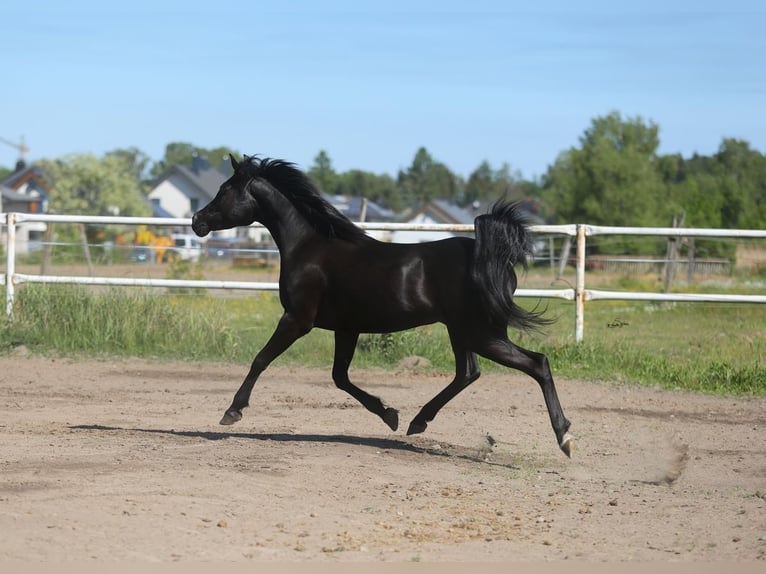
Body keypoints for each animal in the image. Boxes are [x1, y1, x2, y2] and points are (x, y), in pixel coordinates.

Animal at [192, 155, 572, 456]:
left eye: (224, 190)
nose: (197, 221)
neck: (310, 247)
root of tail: (495, 261)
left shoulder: (297, 320)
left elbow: (260, 360)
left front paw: (232, 412)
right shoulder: (346, 328)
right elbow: (340, 378)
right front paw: (390, 415)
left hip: (479, 332)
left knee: (535, 363)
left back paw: (564, 437)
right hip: (464, 331)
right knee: (468, 372)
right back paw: (418, 422)